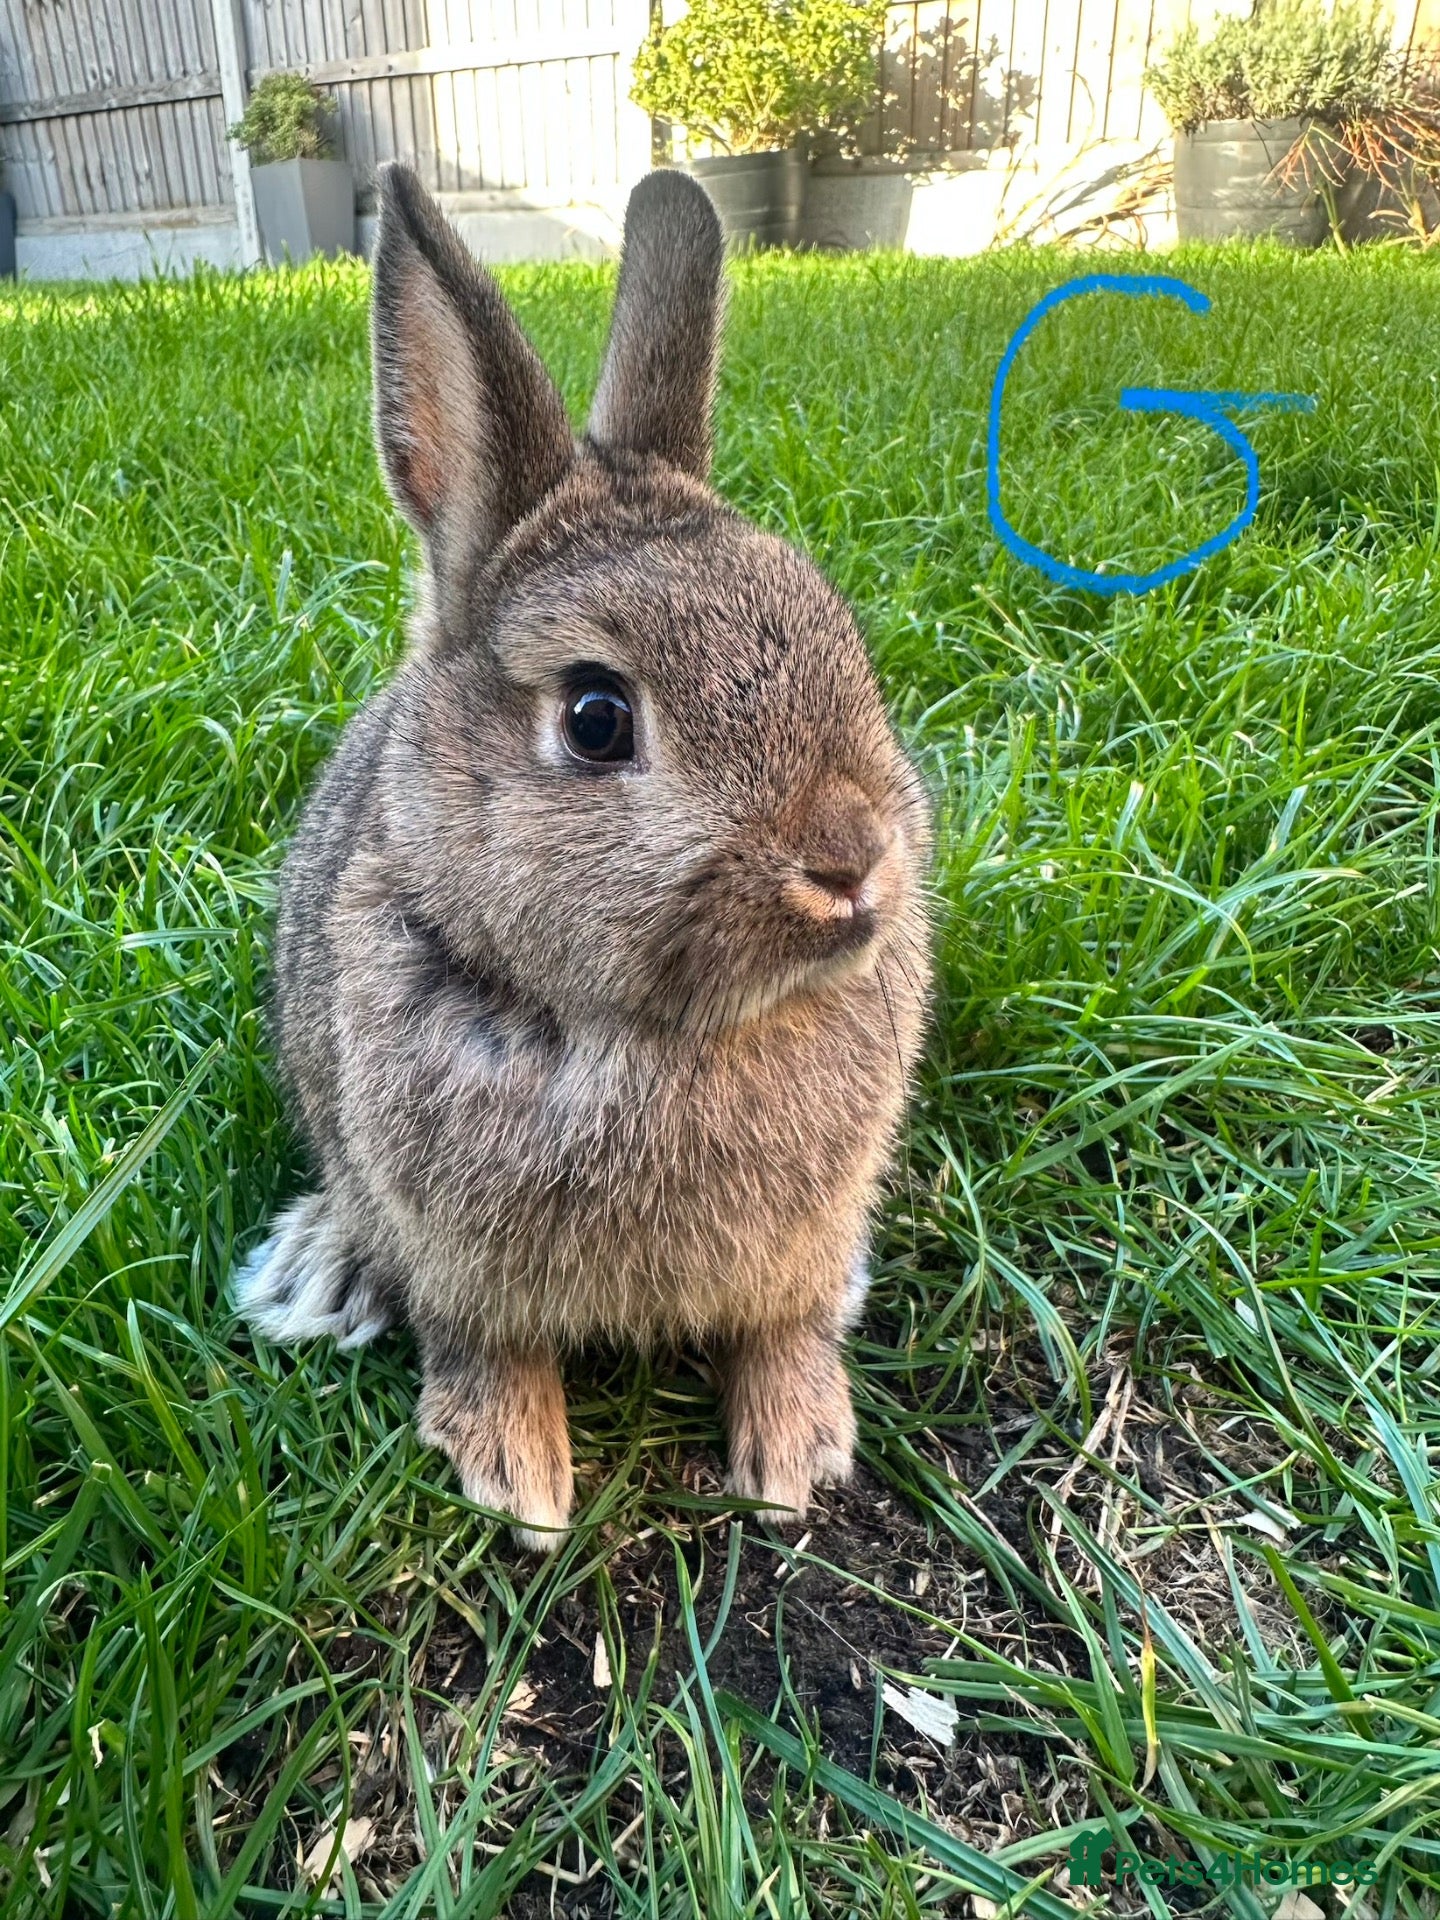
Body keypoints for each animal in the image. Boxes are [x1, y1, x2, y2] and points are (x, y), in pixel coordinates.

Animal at [234, 160, 933, 1550]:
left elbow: (783, 1329)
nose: (850, 865)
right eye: (598, 718)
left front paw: (794, 1456)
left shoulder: (802, 1245)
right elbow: (484, 1348)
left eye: (839, 635)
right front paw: (523, 1483)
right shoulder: (454, 1257)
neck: (658, 1037)